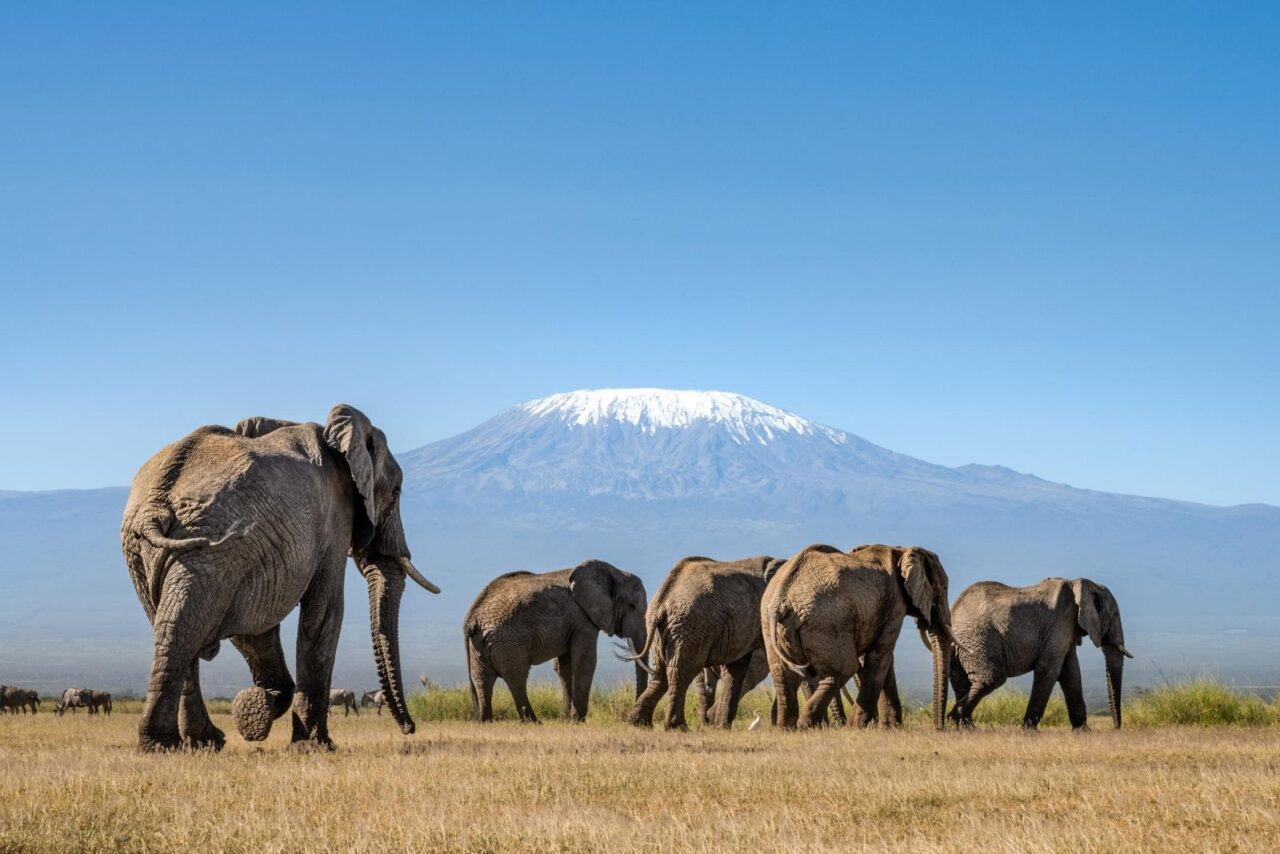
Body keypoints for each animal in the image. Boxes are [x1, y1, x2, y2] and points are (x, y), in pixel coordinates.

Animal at [119, 404, 440, 752]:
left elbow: (254, 629)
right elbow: (324, 613)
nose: (410, 728)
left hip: (159, 552)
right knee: (183, 625)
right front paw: (314, 745)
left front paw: (256, 710)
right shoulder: (333, 519)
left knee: (173, 624)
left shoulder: (253, 553)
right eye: (396, 492)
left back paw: (199, 742)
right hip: (204, 545)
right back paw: (168, 744)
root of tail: (156, 502)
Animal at [464, 560, 648, 723]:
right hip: (508, 641)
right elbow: (585, 663)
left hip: (479, 643)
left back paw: (484, 721)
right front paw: (578, 721)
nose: (632, 719)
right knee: (516, 677)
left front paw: (567, 720)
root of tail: (471, 618)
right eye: (632, 606)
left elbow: (565, 668)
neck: (613, 571)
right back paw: (534, 722)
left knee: (482, 679)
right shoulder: (582, 619)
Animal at [628, 555, 782, 730]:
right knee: (682, 671)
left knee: (661, 674)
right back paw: (678, 727)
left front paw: (722, 727)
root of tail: (663, 598)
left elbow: (736, 668)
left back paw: (639, 723)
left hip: (664, 631)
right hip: (691, 627)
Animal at [762, 544, 955, 730]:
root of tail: (781, 597)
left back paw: (788, 728)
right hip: (827, 621)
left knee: (783, 675)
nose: (938, 728)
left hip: (772, 627)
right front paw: (859, 726)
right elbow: (880, 654)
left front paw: (890, 728)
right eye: (944, 588)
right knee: (843, 669)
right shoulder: (895, 604)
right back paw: (807, 725)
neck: (903, 550)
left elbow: (883, 658)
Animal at [947, 577, 1133, 730]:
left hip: (961, 647)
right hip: (978, 640)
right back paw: (954, 719)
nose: (1116, 728)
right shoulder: (1061, 623)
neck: (1080, 583)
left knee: (963, 682)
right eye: (1115, 614)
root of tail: (953, 611)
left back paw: (965, 726)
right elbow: (1049, 670)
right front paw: (1029, 730)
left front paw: (1083, 731)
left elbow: (1071, 673)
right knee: (992, 678)